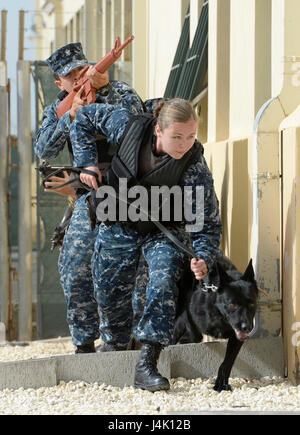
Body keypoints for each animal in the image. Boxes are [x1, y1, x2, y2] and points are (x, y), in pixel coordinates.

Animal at [172, 255, 258, 396]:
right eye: (232, 304)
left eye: (251, 304)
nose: (247, 328)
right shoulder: (190, 313)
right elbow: (194, 333)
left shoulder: (236, 339)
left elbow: (227, 363)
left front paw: (221, 385)